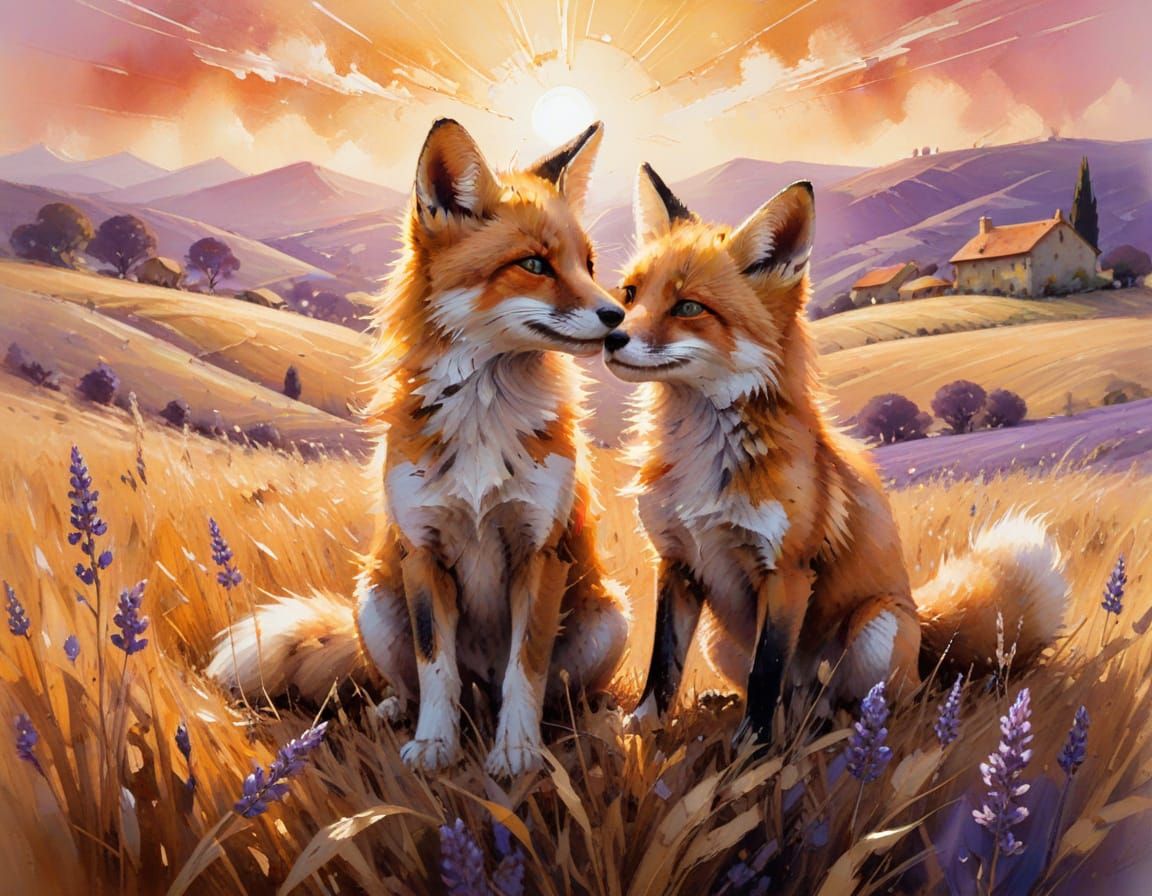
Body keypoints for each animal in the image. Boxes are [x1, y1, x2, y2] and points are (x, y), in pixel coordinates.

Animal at [207, 119, 632, 778]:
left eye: (587, 264)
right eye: (534, 264)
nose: (619, 318)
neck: (483, 418)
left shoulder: (540, 551)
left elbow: (525, 672)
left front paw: (516, 753)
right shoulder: (424, 551)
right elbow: (437, 671)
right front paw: (435, 747)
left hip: (610, 620)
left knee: (549, 692)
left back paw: (582, 724)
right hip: (377, 603)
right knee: (425, 685)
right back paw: (393, 715)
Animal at [602, 163, 1067, 736]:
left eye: (688, 307)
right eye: (629, 294)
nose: (611, 337)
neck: (702, 461)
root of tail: (924, 631)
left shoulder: (786, 571)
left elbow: (766, 672)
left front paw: (752, 749)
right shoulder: (677, 561)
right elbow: (663, 666)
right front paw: (640, 731)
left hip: (875, 628)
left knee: (869, 699)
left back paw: (842, 730)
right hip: (719, 638)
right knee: (792, 695)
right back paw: (732, 705)